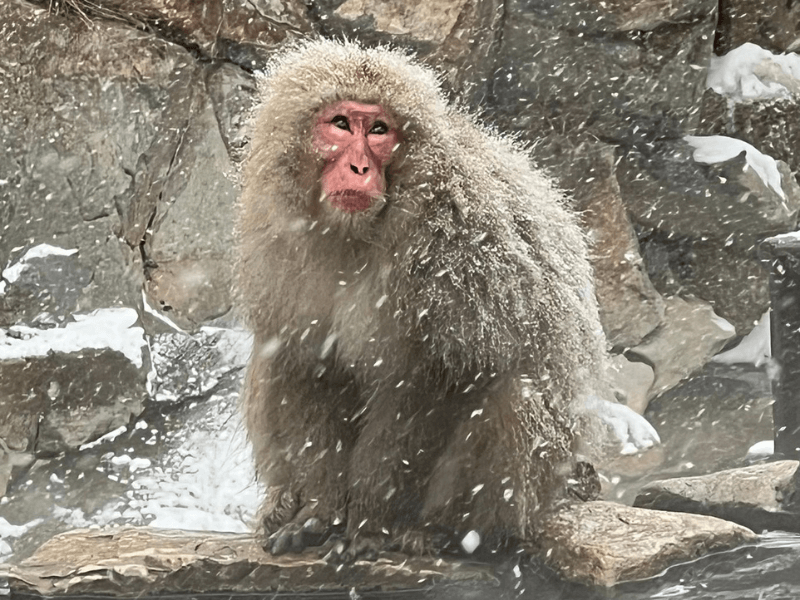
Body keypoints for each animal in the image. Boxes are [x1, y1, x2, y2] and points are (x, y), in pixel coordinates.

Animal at [236, 39, 609, 560]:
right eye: (341, 124)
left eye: (379, 130)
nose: (360, 166)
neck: (356, 236)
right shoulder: (281, 246)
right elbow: (307, 364)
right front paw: (318, 512)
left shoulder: (459, 241)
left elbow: (438, 377)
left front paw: (369, 521)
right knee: (273, 363)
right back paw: (284, 504)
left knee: (513, 395)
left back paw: (449, 533)